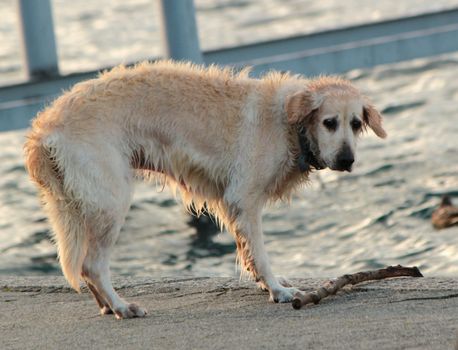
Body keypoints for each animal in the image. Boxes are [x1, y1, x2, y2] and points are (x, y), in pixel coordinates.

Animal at [23, 59, 384, 318]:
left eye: (356, 124)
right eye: (329, 122)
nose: (347, 160)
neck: (288, 124)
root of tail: (45, 129)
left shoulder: (232, 205)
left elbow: (250, 255)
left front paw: (269, 285)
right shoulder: (244, 200)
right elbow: (261, 254)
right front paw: (279, 292)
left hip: (78, 205)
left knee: (84, 265)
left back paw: (106, 306)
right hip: (111, 201)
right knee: (92, 265)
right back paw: (122, 306)